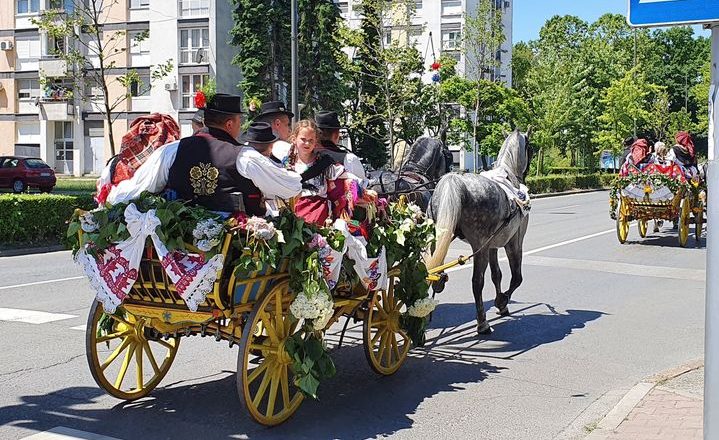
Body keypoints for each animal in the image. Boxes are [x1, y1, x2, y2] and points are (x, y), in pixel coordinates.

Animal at [424, 129, 532, 336]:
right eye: (531, 147)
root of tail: (453, 182)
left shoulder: (492, 246)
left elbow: (497, 275)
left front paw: (502, 303)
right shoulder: (514, 241)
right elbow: (517, 277)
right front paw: (502, 300)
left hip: (438, 238)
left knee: (427, 269)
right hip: (479, 246)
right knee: (477, 282)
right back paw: (482, 323)